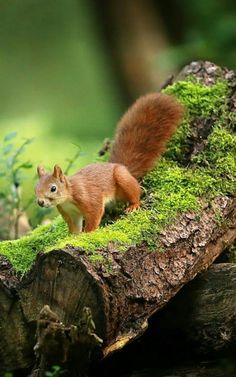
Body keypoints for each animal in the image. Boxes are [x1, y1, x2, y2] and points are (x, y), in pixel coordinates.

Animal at [35, 92, 183, 232]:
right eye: (35, 188)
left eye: (53, 188)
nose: (40, 202)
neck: (68, 196)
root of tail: (123, 167)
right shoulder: (70, 212)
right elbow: (74, 228)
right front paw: (73, 237)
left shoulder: (89, 199)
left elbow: (94, 215)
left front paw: (88, 233)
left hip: (122, 178)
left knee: (136, 191)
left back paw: (133, 205)